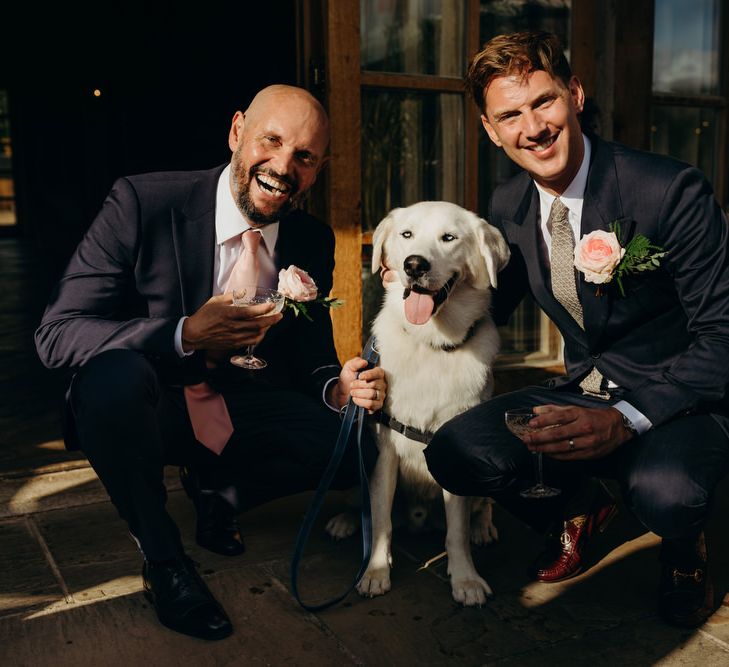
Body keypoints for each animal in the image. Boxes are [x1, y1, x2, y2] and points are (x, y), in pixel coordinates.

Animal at [330, 201, 506, 608]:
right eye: (407, 234)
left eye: (449, 238)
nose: (414, 265)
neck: (432, 344)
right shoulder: (384, 451)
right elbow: (380, 521)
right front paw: (375, 571)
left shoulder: (453, 452)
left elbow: (456, 531)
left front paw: (466, 579)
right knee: (358, 502)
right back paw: (344, 521)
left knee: (482, 506)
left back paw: (483, 527)